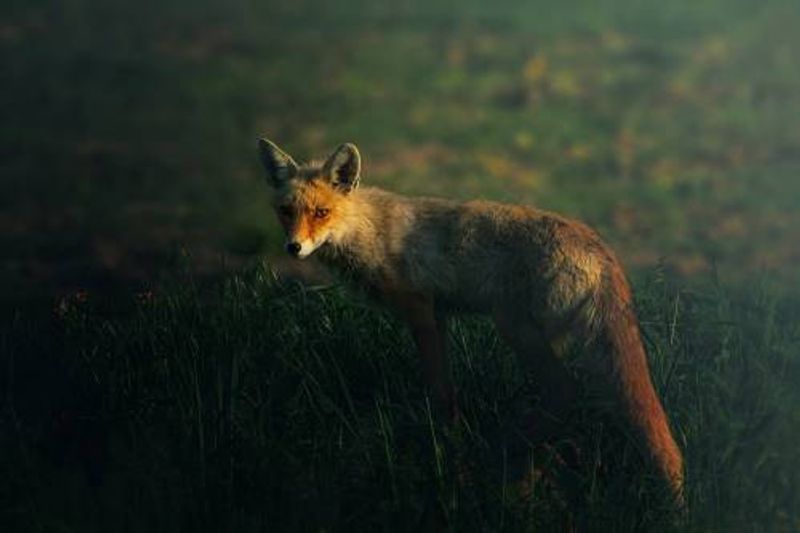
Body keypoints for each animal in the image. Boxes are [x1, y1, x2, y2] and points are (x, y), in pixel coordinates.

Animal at [257, 137, 685, 507]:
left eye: (321, 213)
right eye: (286, 212)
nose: (293, 248)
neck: (370, 231)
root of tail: (603, 251)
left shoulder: (420, 311)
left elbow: (440, 395)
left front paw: (447, 451)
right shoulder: (440, 315)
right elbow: (447, 390)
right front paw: (454, 442)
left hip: (513, 327)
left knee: (565, 390)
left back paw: (497, 453)